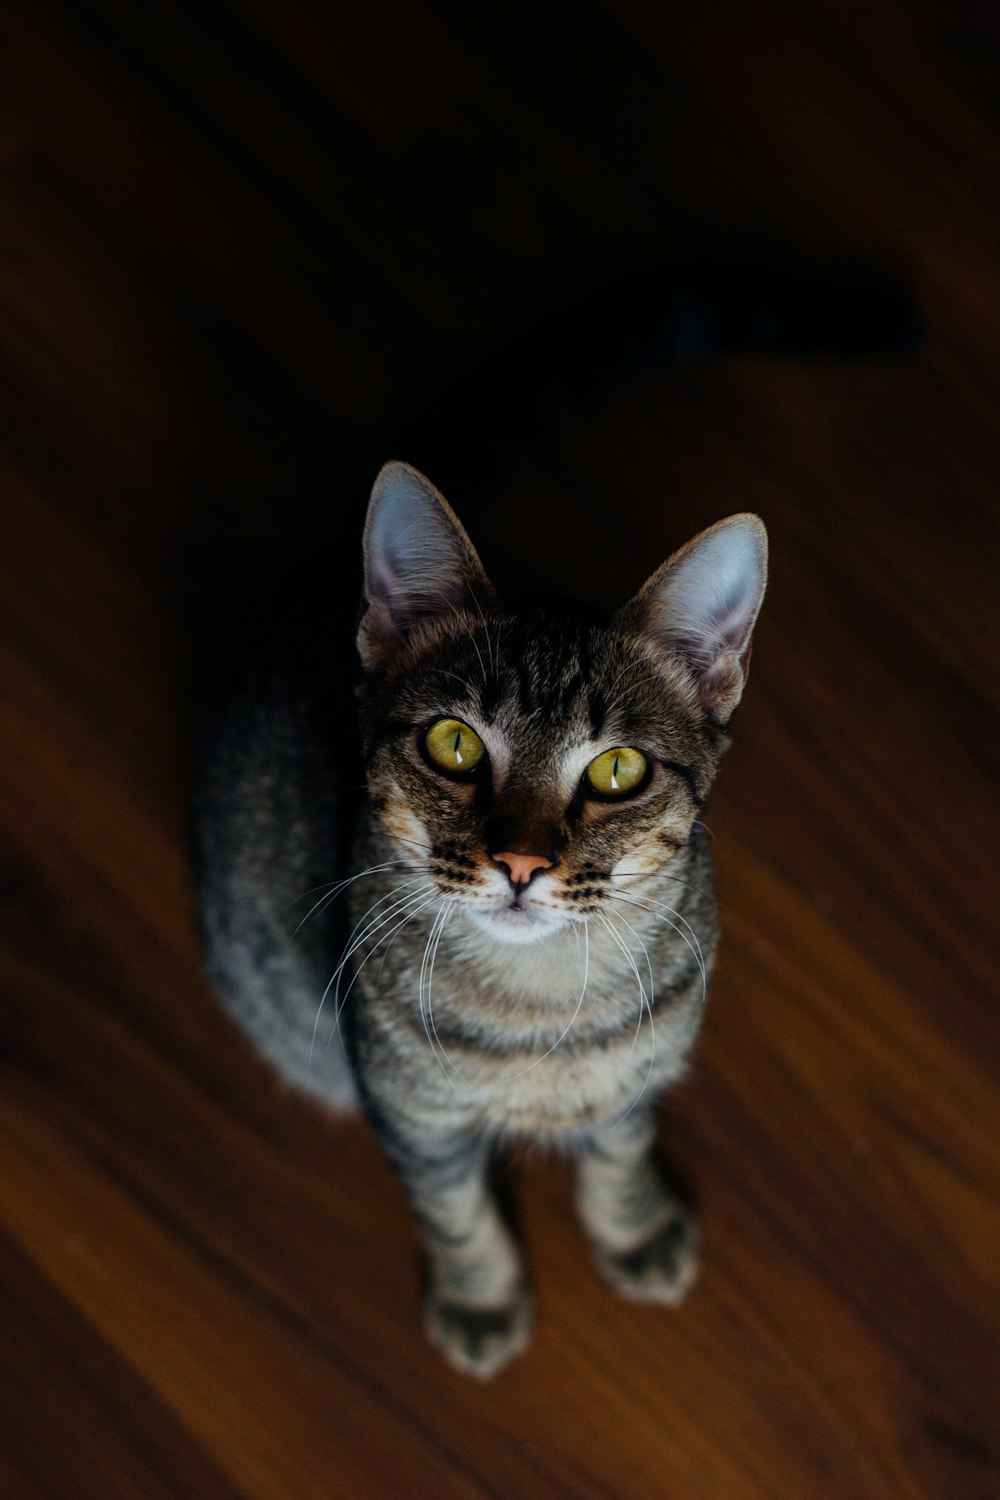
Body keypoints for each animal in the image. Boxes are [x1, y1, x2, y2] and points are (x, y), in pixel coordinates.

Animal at [197, 459, 773, 1380]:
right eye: (454, 744)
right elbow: (456, 1214)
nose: (522, 864)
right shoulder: (413, 1119)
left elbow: (621, 1157)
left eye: (619, 769)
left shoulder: (636, 1078)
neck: (539, 1013)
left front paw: (635, 1229)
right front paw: (482, 1299)